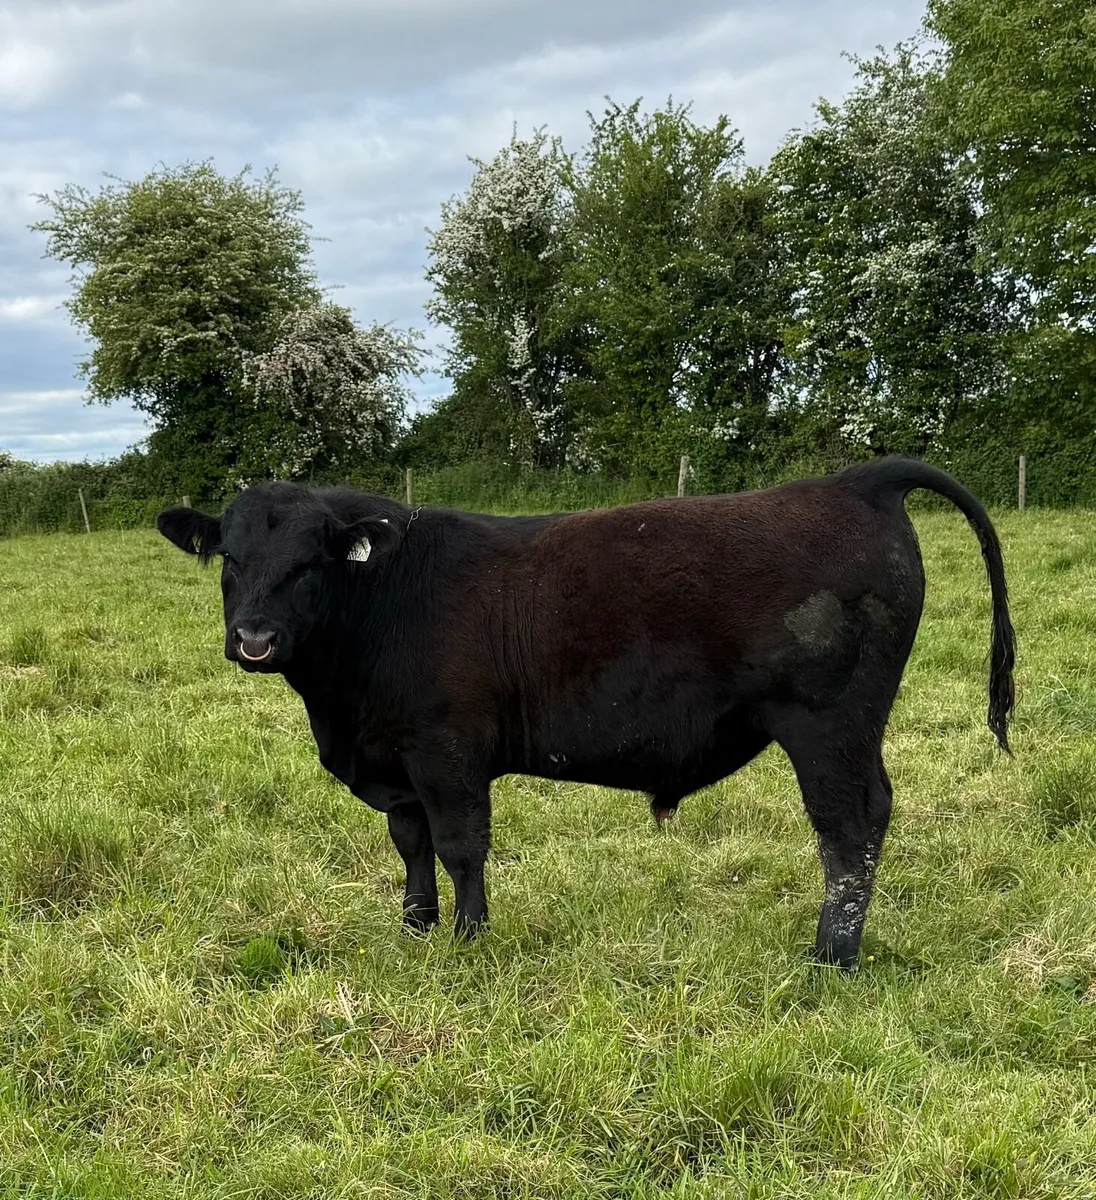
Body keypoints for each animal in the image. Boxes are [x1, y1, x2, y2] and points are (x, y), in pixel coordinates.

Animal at [156, 456, 1015, 970]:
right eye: (230, 559)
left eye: (309, 564)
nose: (254, 639)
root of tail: (857, 478)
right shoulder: (395, 761)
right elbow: (411, 845)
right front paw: (415, 927)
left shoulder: (447, 752)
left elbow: (462, 845)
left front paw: (469, 940)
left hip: (828, 726)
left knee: (849, 827)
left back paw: (830, 955)